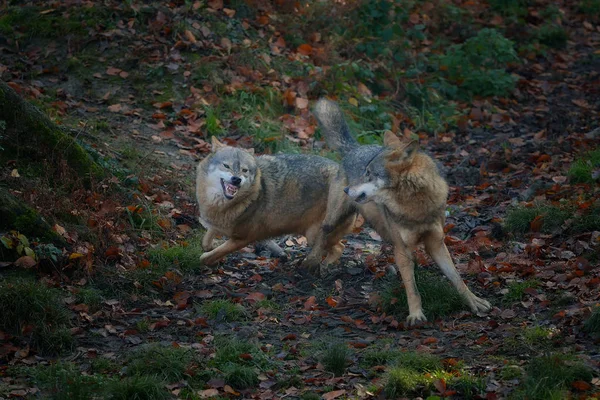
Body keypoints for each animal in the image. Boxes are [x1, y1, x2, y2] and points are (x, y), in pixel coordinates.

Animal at [197, 135, 356, 268]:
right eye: (226, 166)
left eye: (244, 170)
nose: (236, 179)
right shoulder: (217, 222)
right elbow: (207, 239)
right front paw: (210, 246)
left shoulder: (244, 239)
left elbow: (207, 256)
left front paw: (208, 259)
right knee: (337, 248)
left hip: (314, 235)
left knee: (339, 248)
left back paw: (321, 267)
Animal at [312, 99, 490, 324]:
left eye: (369, 174)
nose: (347, 189)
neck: (415, 206)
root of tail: (355, 148)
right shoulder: (402, 250)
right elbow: (412, 288)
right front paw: (415, 315)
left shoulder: (436, 243)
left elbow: (456, 278)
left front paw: (474, 302)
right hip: (334, 219)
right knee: (322, 236)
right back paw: (309, 264)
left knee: (340, 246)